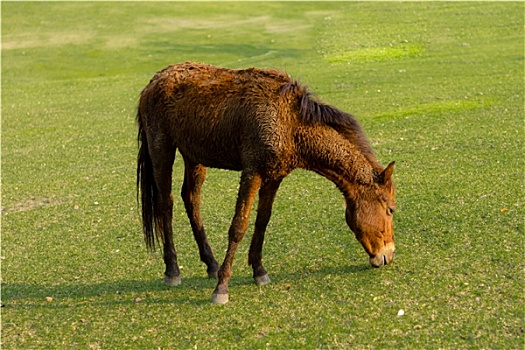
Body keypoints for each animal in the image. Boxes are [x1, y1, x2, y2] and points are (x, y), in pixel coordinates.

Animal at [137, 62, 396, 304]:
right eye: (391, 209)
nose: (389, 254)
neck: (289, 122)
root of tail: (153, 82)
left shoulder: (274, 176)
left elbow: (262, 221)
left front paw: (258, 271)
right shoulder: (252, 172)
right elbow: (238, 227)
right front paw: (222, 287)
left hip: (194, 156)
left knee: (191, 200)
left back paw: (211, 263)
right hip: (162, 150)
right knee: (166, 204)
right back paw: (172, 270)